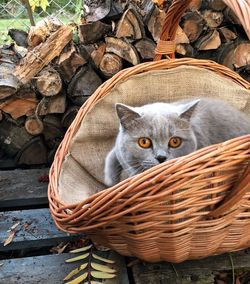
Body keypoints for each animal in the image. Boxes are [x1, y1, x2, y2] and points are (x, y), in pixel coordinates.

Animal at [103, 98, 250, 187]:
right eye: (144, 142)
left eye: (175, 141)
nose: (161, 157)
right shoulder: (118, 149)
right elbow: (112, 156)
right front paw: (111, 181)